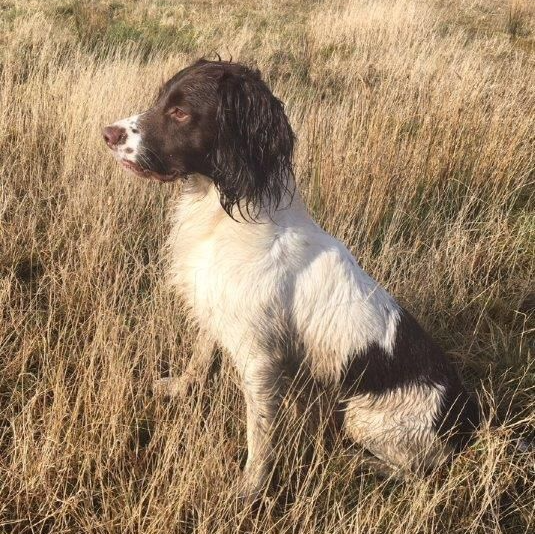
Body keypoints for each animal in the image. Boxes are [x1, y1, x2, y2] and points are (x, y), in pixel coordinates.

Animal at [102, 60, 480, 504]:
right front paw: (179, 388)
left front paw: (249, 490)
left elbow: (260, 434)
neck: (227, 210)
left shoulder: (260, 359)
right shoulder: (217, 308)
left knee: (420, 474)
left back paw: (362, 464)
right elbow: (200, 357)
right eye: (161, 99)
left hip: (365, 419)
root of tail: (466, 418)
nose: (108, 133)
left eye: (180, 113)